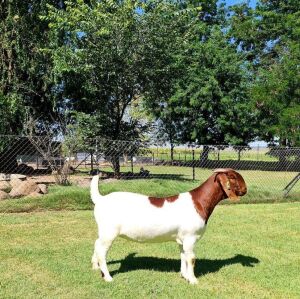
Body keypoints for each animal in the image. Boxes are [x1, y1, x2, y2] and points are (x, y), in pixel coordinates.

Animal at [91, 169, 246, 284]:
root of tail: (101, 199)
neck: (199, 202)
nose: (245, 189)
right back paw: (108, 277)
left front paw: (184, 276)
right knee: (102, 251)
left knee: (97, 244)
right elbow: (191, 258)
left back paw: (95, 267)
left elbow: (183, 256)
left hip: (103, 232)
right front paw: (193, 280)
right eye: (233, 177)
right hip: (109, 232)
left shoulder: (182, 239)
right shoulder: (190, 237)